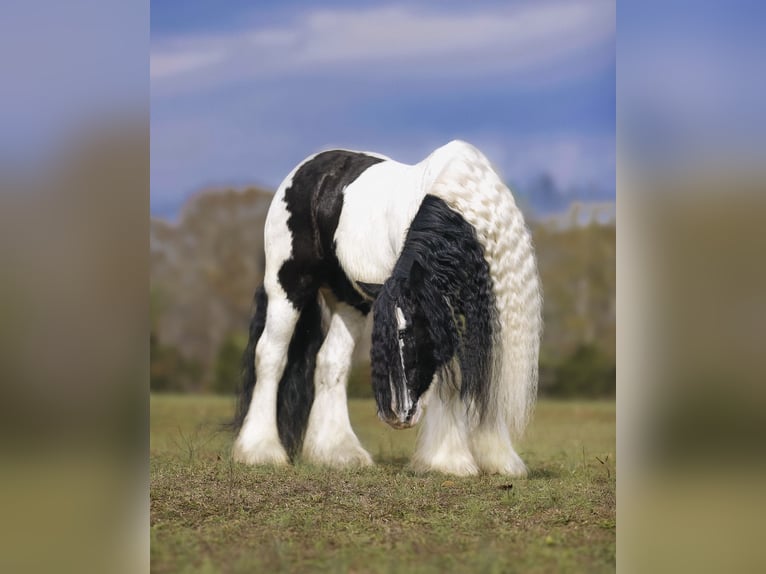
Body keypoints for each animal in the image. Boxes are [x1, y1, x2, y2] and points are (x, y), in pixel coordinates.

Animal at [231, 140, 544, 476]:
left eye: (409, 334)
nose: (397, 414)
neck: (460, 209)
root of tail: (309, 169)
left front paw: (497, 460)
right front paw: (447, 460)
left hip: (350, 301)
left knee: (330, 362)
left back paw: (338, 452)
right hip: (287, 287)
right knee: (270, 356)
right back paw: (260, 449)